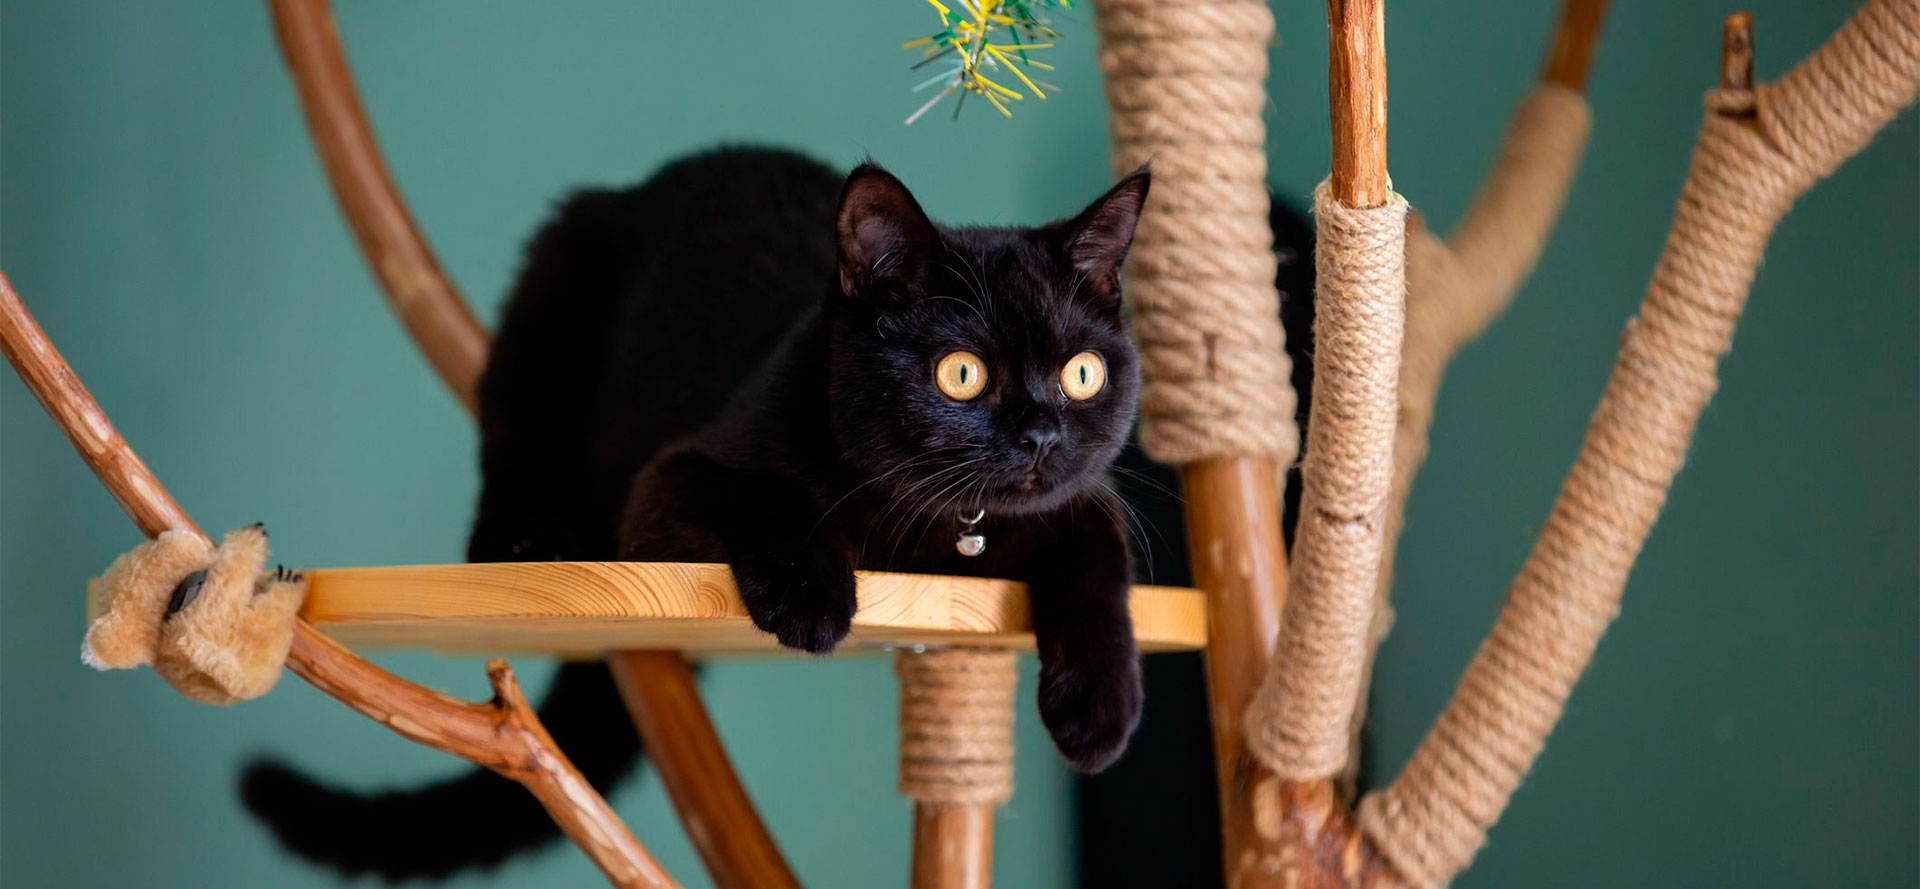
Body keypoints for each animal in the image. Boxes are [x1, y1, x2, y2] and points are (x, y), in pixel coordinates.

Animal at [251, 149, 1152, 879]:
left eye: (1081, 374)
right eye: (961, 373)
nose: (1040, 434)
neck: (943, 538)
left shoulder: (1077, 501)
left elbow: (1101, 553)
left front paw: (1101, 709)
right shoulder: (666, 483)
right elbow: (771, 494)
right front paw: (812, 597)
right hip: (558, 270)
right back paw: (524, 540)